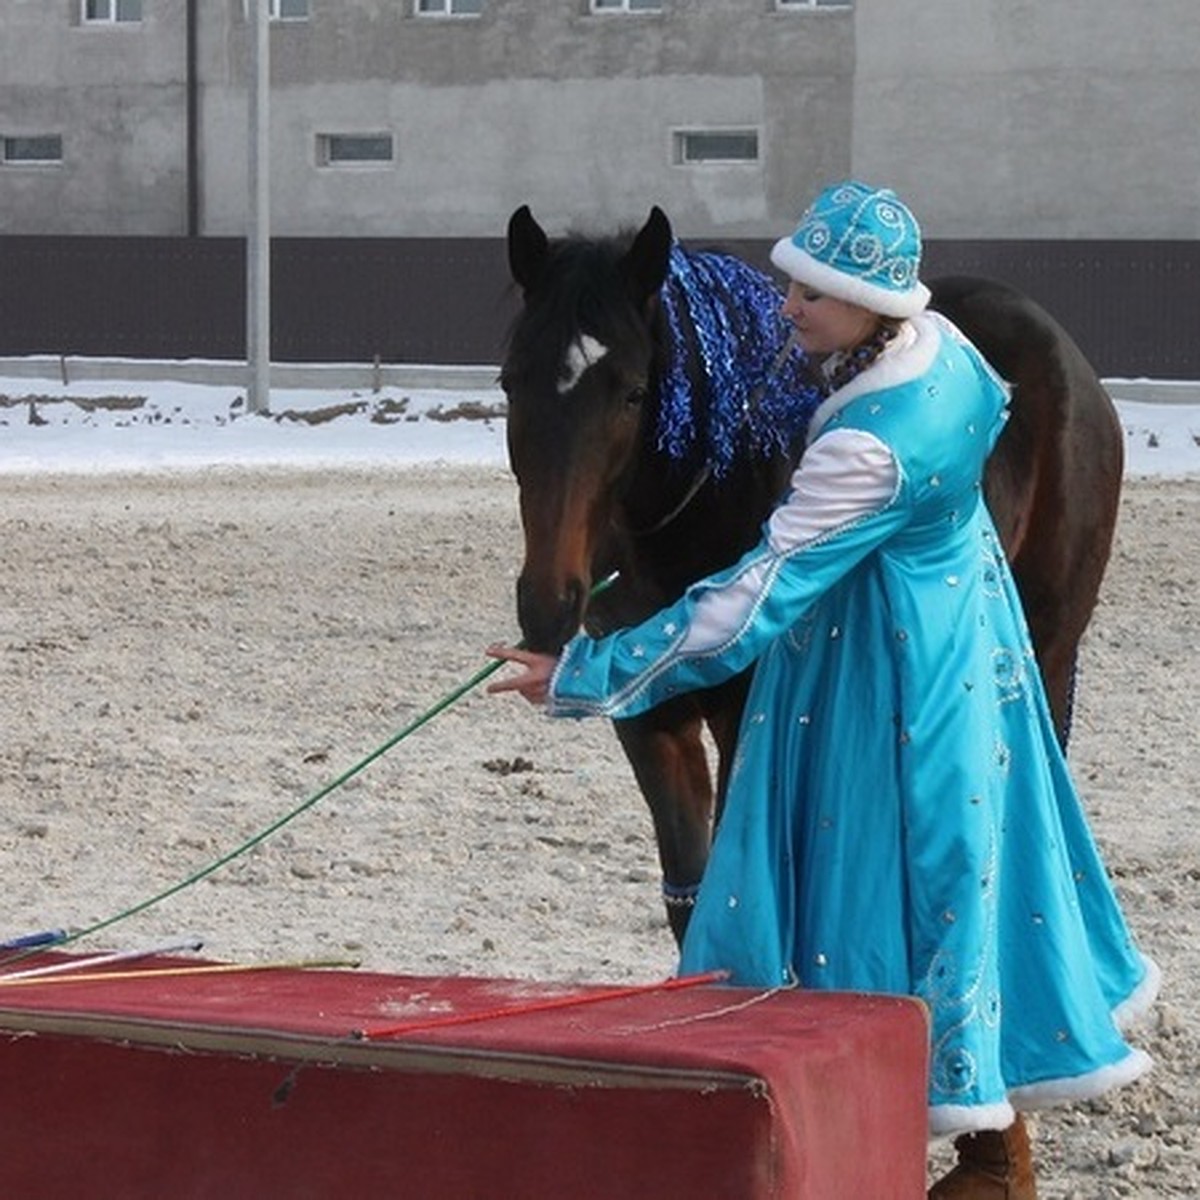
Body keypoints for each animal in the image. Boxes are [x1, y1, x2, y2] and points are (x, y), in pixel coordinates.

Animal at [499, 204, 1123, 936]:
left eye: (631, 391)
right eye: (511, 381)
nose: (548, 603)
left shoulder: (743, 708)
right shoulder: (650, 719)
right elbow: (689, 894)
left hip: (1048, 647)